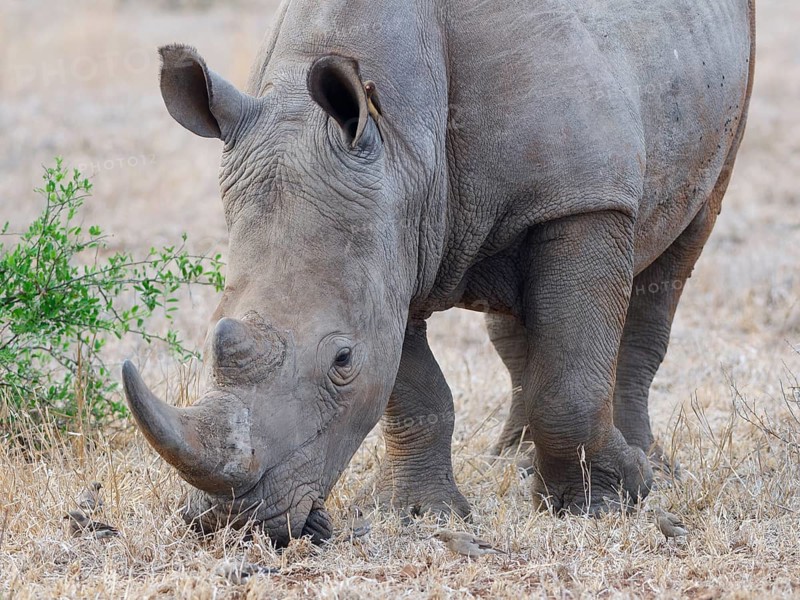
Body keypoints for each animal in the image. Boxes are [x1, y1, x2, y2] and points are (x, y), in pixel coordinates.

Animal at [122, 0, 755, 545]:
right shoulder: (391, 234)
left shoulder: (584, 200)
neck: (400, 134)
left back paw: (651, 464)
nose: (232, 522)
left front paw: (610, 500)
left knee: (678, 250)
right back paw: (513, 459)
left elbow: (571, 387)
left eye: (342, 361)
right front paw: (421, 514)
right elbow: (415, 391)